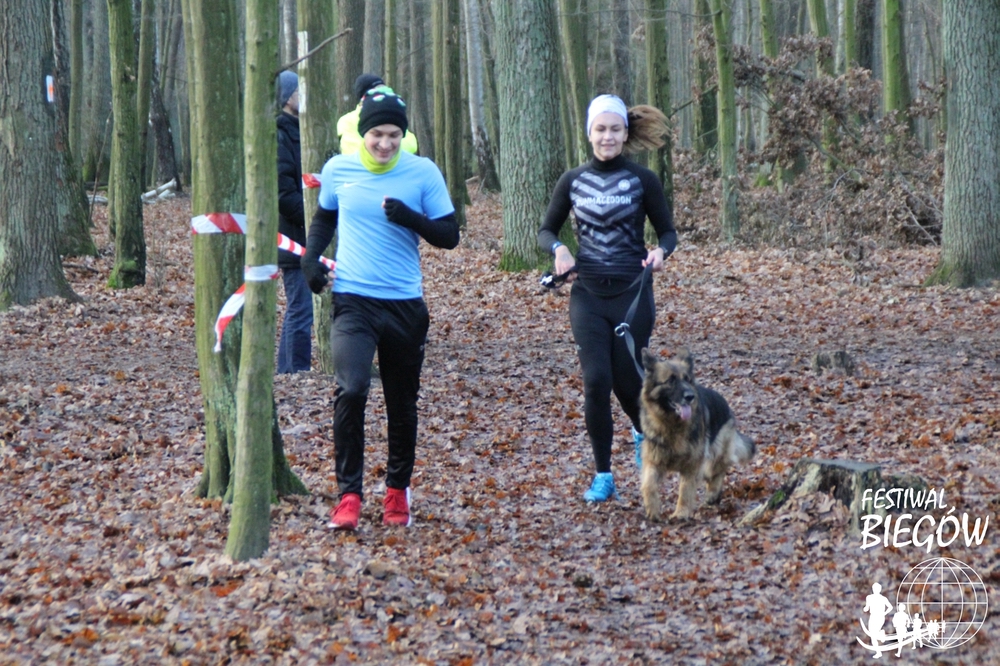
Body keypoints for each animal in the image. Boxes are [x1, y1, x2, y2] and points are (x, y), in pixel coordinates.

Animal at [639, 348, 755, 520]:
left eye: (687, 379)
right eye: (671, 380)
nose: (690, 396)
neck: (672, 426)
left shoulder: (692, 464)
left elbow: (685, 490)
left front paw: (681, 513)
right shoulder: (654, 461)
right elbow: (648, 485)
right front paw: (652, 509)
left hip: (714, 455)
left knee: (719, 470)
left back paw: (713, 494)